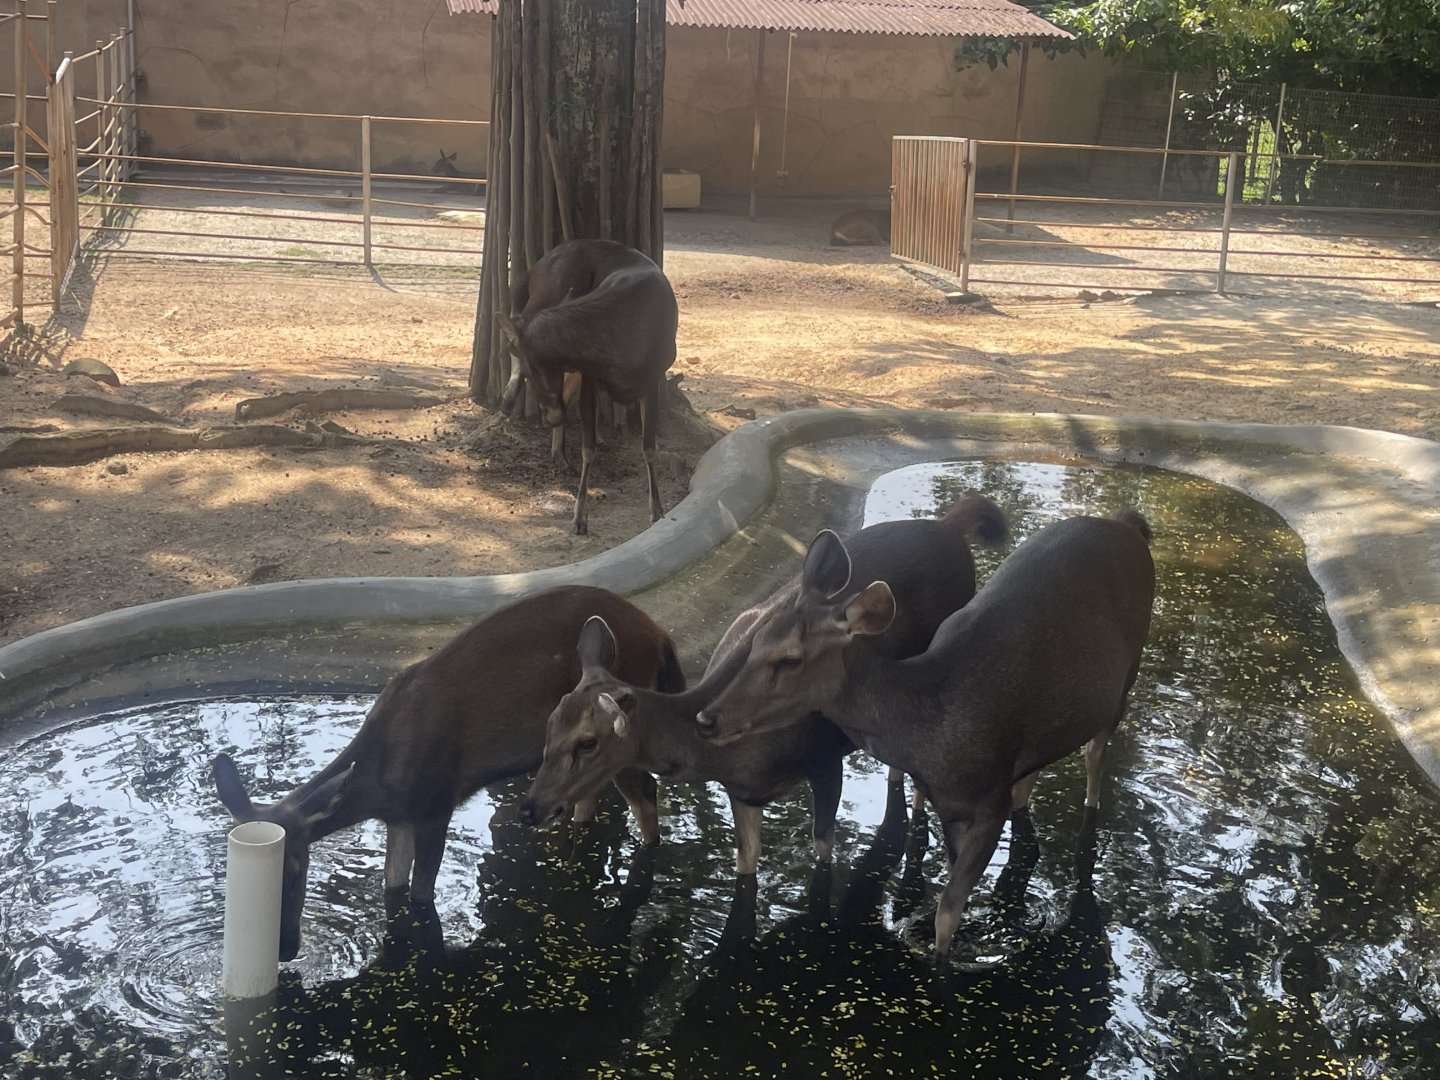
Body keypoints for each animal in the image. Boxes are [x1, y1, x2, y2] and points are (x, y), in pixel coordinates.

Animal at [210, 584, 682, 962]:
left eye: (294, 868)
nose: (286, 950)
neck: (382, 777)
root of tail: (662, 637)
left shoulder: (437, 803)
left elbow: (421, 895)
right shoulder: (399, 817)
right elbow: (392, 889)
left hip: (623, 734)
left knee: (646, 795)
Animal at [495, 239, 679, 535]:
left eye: (536, 367)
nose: (549, 417)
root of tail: (535, 267)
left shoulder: (653, 378)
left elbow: (648, 447)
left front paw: (657, 511)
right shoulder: (589, 377)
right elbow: (588, 448)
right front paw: (579, 518)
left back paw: (557, 452)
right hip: (545, 295)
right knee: (519, 317)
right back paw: (512, 401)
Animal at [519, 496, 1008, 875]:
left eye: (587, 742)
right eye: (548, 727)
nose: (530, 807)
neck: (745, 757)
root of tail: (951, 527)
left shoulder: (825, 757)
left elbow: (823, 852)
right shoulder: (743, 794)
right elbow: (746, 868)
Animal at [694, 508, 1155, 959]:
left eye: (789, 659)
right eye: (754, 640)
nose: (707, 718)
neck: (931, 734)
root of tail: (1128, 524)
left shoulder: (991, 802)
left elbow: (947, 915)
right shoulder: (950, 805)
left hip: (1127, 675)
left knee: (1095, 757)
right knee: (1035, 774)